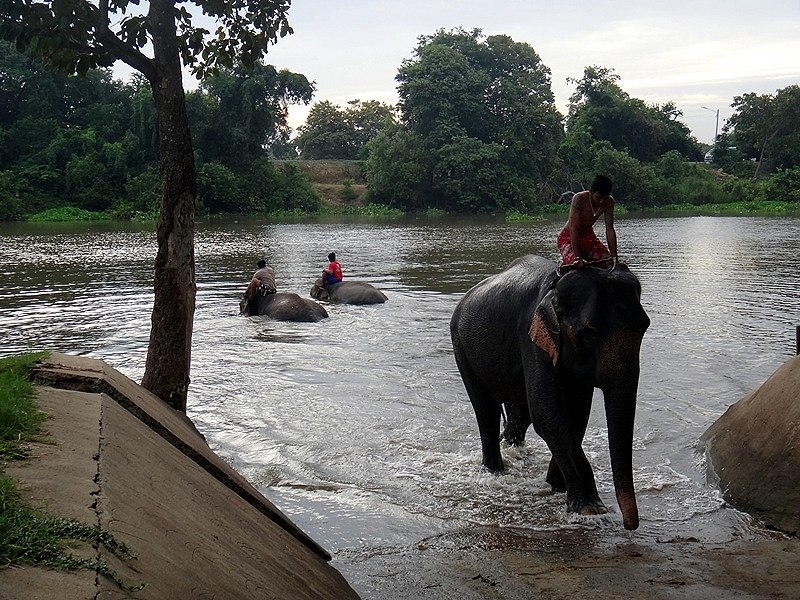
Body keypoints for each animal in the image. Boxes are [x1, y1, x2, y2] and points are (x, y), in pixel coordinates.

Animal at [450, 253, 648, 528]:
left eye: (645, 326)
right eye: (589, 334)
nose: (630, 525)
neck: (557, 284)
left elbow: (575, 415)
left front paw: (556, 486)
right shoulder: (533, 338)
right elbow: (547, 414)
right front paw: (591, 510)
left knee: (519, 415)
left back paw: (513, 450)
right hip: (461, 348)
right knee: (486, 410)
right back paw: (496, 471)